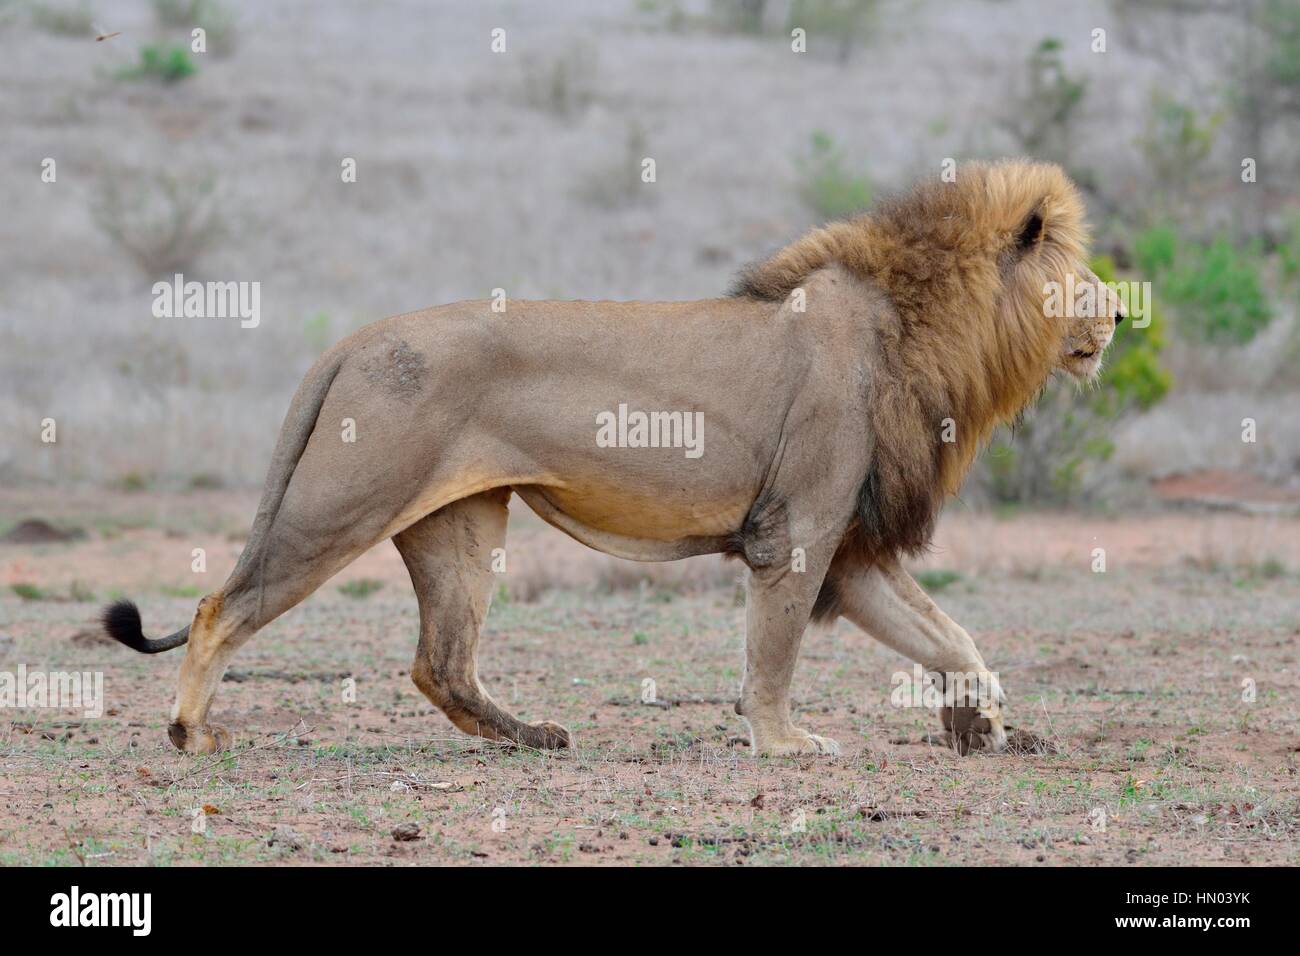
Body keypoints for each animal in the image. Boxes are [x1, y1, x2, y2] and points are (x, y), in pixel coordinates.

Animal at [103, 159, 1123, 758]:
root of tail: (352, 341)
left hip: (458, 522)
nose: (1118, 311)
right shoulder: (797, 532)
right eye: (1079, 273)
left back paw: (530, 737)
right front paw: (784, 744)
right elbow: (777, 653)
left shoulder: (852, 547)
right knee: (219, 607)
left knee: (441, 663)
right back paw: (190, 732)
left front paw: (981, 720)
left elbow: (950, 635)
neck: (922, 329)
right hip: (341, 504)